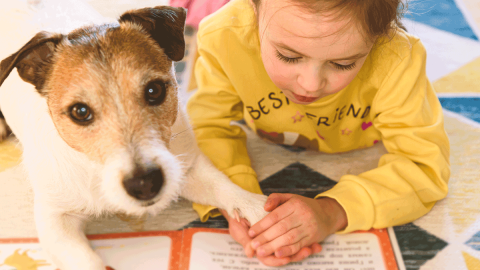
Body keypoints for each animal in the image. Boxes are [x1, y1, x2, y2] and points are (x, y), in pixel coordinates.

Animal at [0, 6, 266, 270]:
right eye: (80, 112)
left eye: (154, 90)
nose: (145, 184)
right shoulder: (55, 220)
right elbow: (88, 261)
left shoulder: (187, 168)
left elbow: (226, 188)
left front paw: (263, 213)